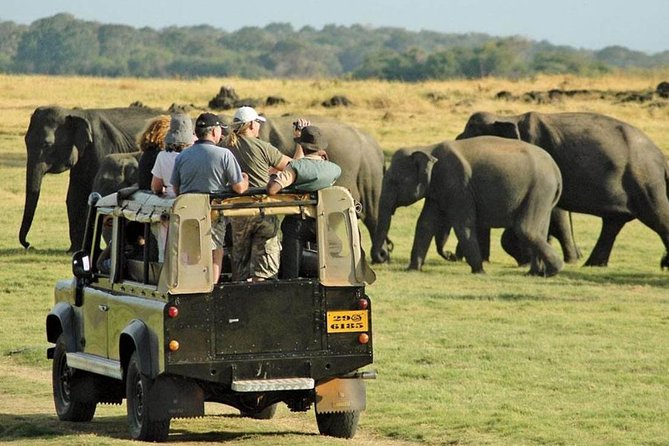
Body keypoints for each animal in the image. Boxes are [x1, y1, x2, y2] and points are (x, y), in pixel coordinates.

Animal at [20, 104, 162, 251]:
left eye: (47, 145)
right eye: (25, 141)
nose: (28, 245)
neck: (75, 113)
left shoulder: (101, 147)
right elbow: (75, 195)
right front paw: (75, 250)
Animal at [370, 136, 564, 276]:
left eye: (393, 182)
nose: (383, 254)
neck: (428, 148)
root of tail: (556, 170)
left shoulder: (458, 185)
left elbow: (463, 225)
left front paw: (479, 271)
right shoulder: (436, 190)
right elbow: (425, 224)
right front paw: (412, 269)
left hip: (539, 189)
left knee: (525, 229)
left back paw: (555, 269)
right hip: (543, 196)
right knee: (540, 230)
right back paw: (536, 273)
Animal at [456, 110, 668, 268]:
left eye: (469, 137)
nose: (453, 256)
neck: (509, 117)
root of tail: (660, 156)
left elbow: (553, 213)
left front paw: (527, 259)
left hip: (645, 180)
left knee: (656, 216)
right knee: (613, 222)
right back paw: (592, 264)